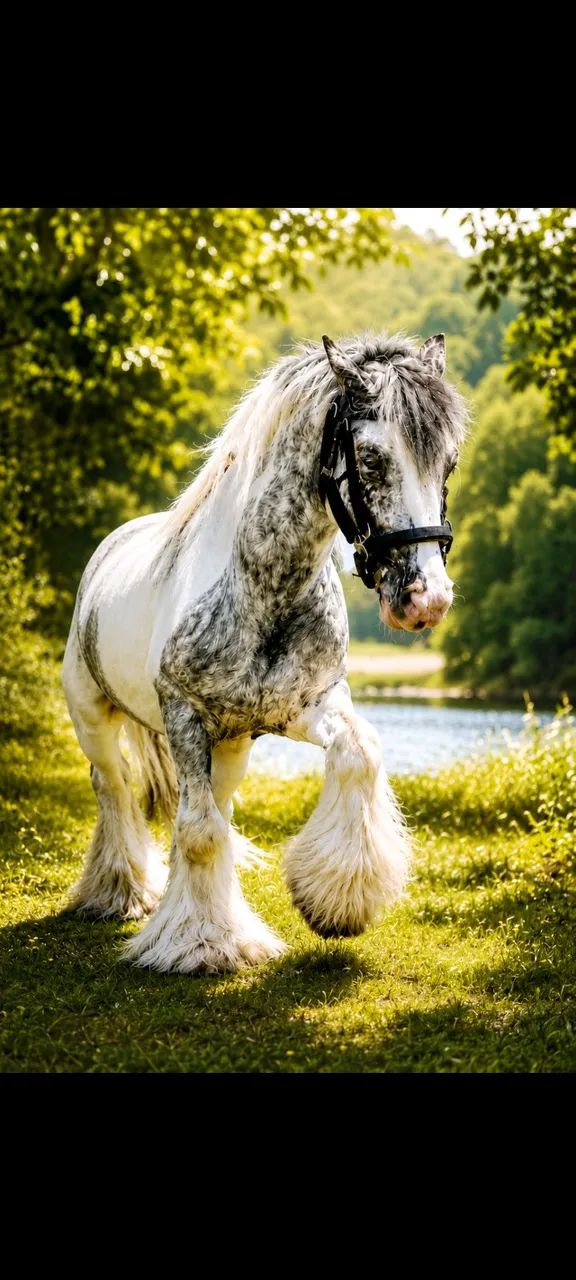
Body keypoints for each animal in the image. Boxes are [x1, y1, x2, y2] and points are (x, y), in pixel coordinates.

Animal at [62, 331, 467, 974]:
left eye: (448, 462)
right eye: (370, 458)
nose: (427, 599)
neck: (265, 589)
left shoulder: (308, 705)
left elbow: (359, 752)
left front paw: (333, 902)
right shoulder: (183, 716)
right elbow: (198, 831)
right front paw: (203, 946)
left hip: (231, 747)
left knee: (212, 808)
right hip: (94, 718)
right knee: (116, 790)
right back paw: (121, 894)